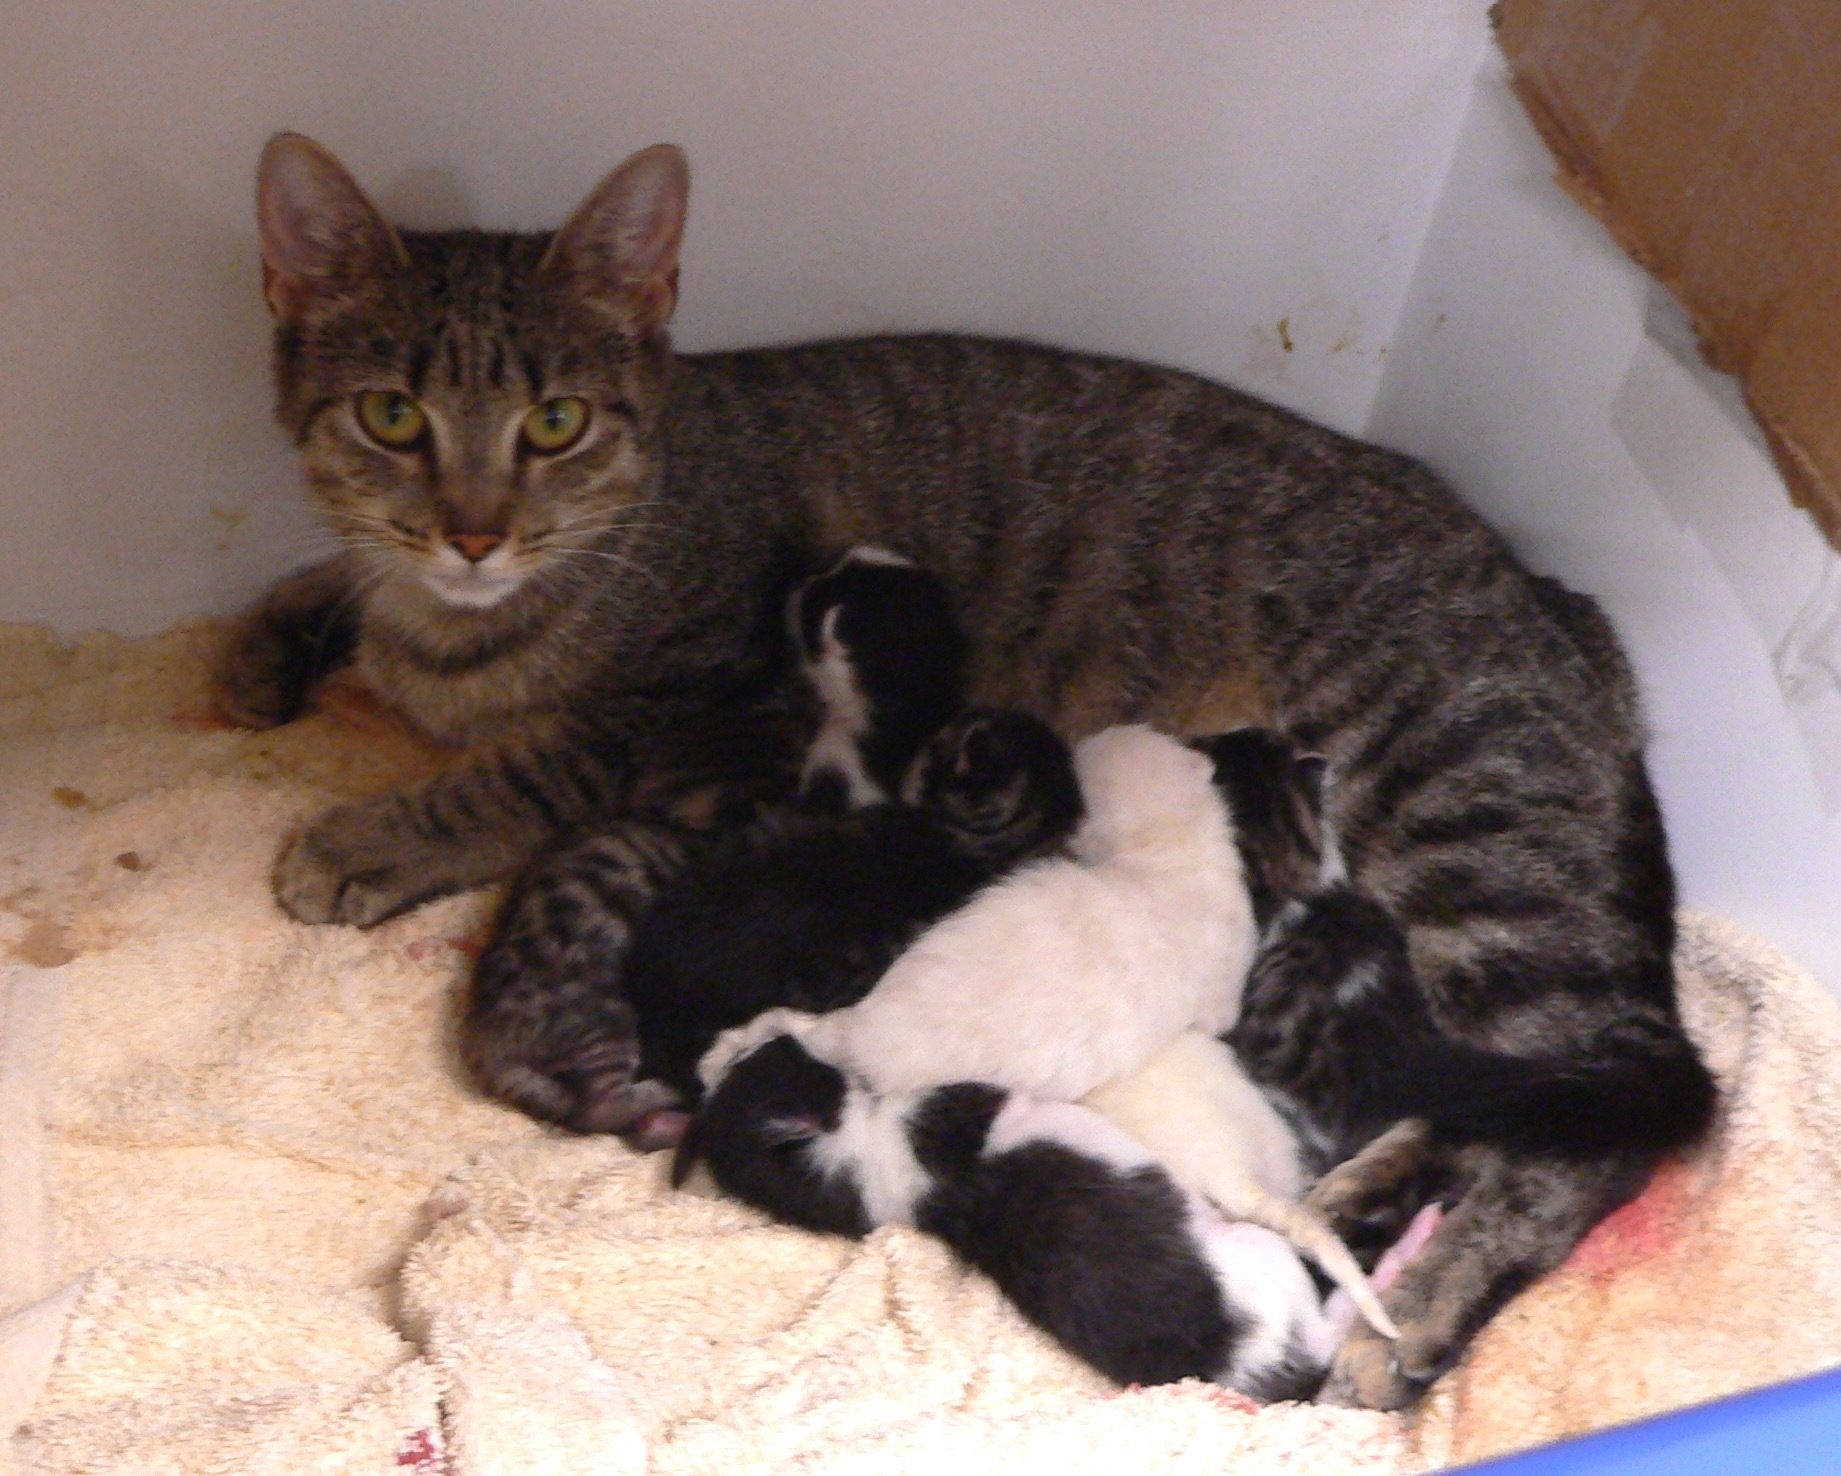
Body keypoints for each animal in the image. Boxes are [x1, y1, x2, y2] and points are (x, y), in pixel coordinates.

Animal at [675, 1033, 1362, 1400]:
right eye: (786, 1060)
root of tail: (1254, 1371)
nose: (779, 1031)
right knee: (1333, 1316)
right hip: (1262, 1258)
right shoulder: (970, 1105)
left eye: (752, 1057)